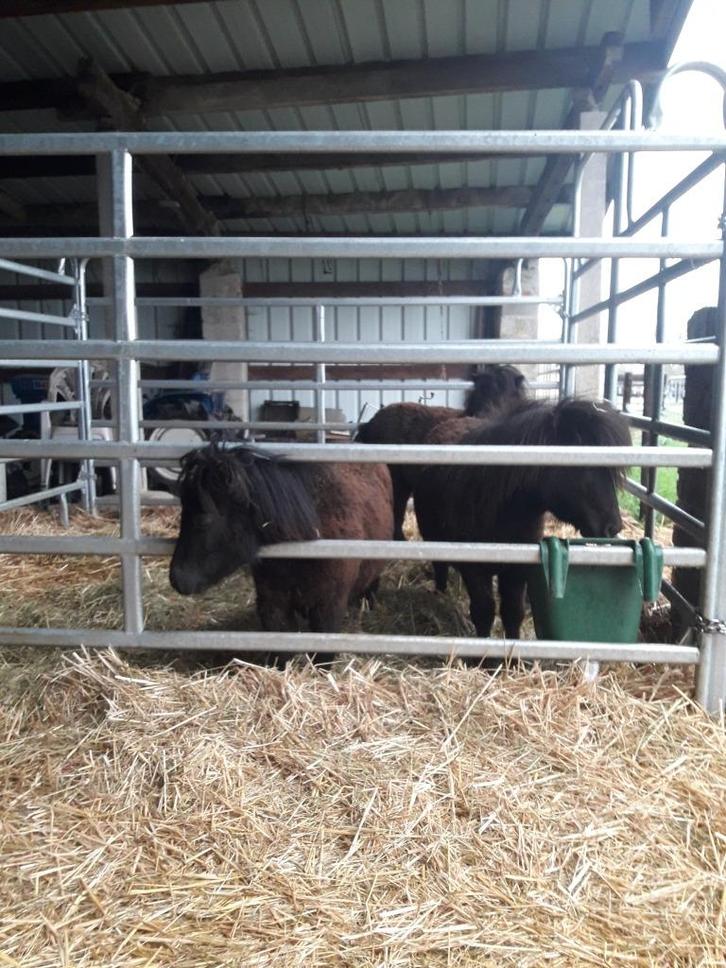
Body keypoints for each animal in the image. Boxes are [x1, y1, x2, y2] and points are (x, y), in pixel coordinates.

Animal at [412, 398, 631, 640]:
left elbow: (512, 612)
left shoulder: (518, 569)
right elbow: (483, 612)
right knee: (440, 569)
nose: (613, 526)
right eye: (584, 467)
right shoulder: (474, 571)